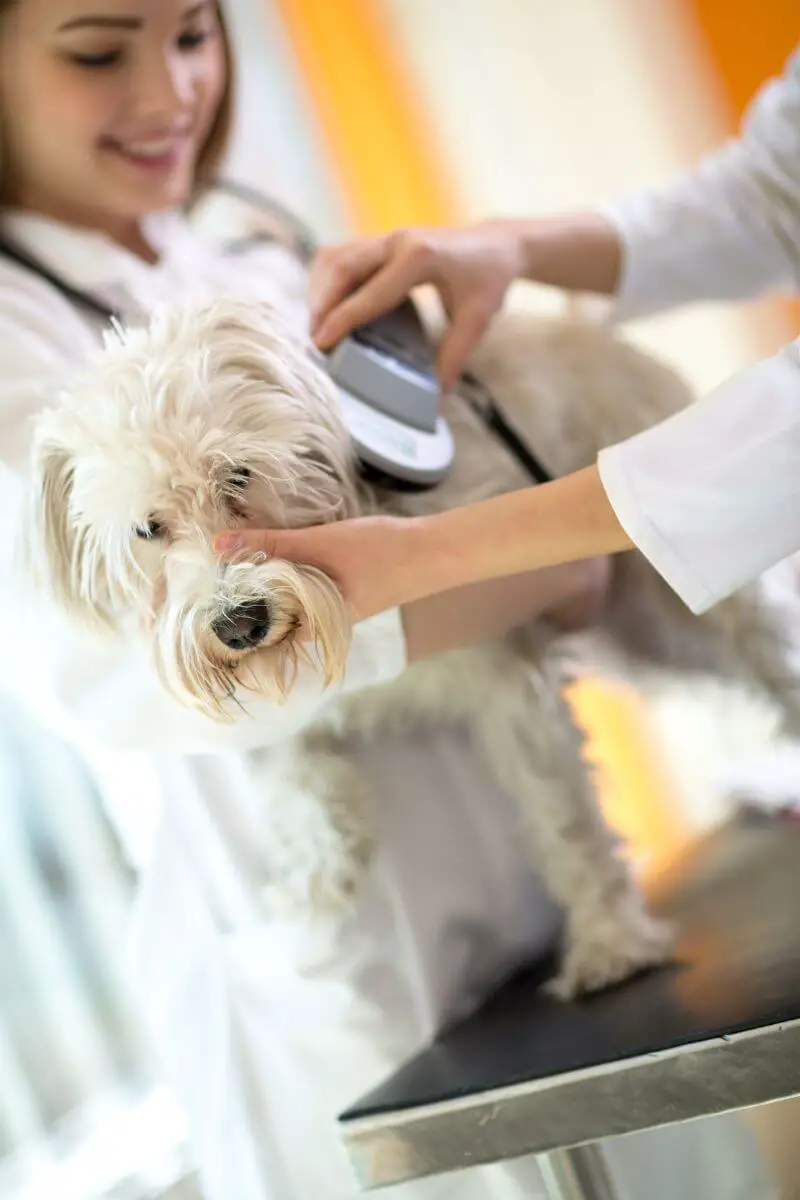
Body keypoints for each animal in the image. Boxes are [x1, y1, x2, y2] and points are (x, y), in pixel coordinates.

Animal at [23, 297, 800, 993]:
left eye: (238, 474)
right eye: (147, 529)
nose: (239, 622)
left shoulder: (507, 683)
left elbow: (564, 820)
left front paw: (610, 939)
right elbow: (289, 770)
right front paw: (319, 872)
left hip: (690, 602)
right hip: (644, 638)